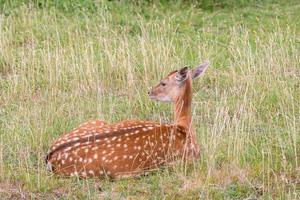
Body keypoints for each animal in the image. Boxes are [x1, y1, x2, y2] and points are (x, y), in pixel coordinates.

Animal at [45, 60, 209, 178]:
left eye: (163, 82)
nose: (149, 92)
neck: (184, 127)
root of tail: (50, 156)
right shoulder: (184, 162)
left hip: (94, 121)